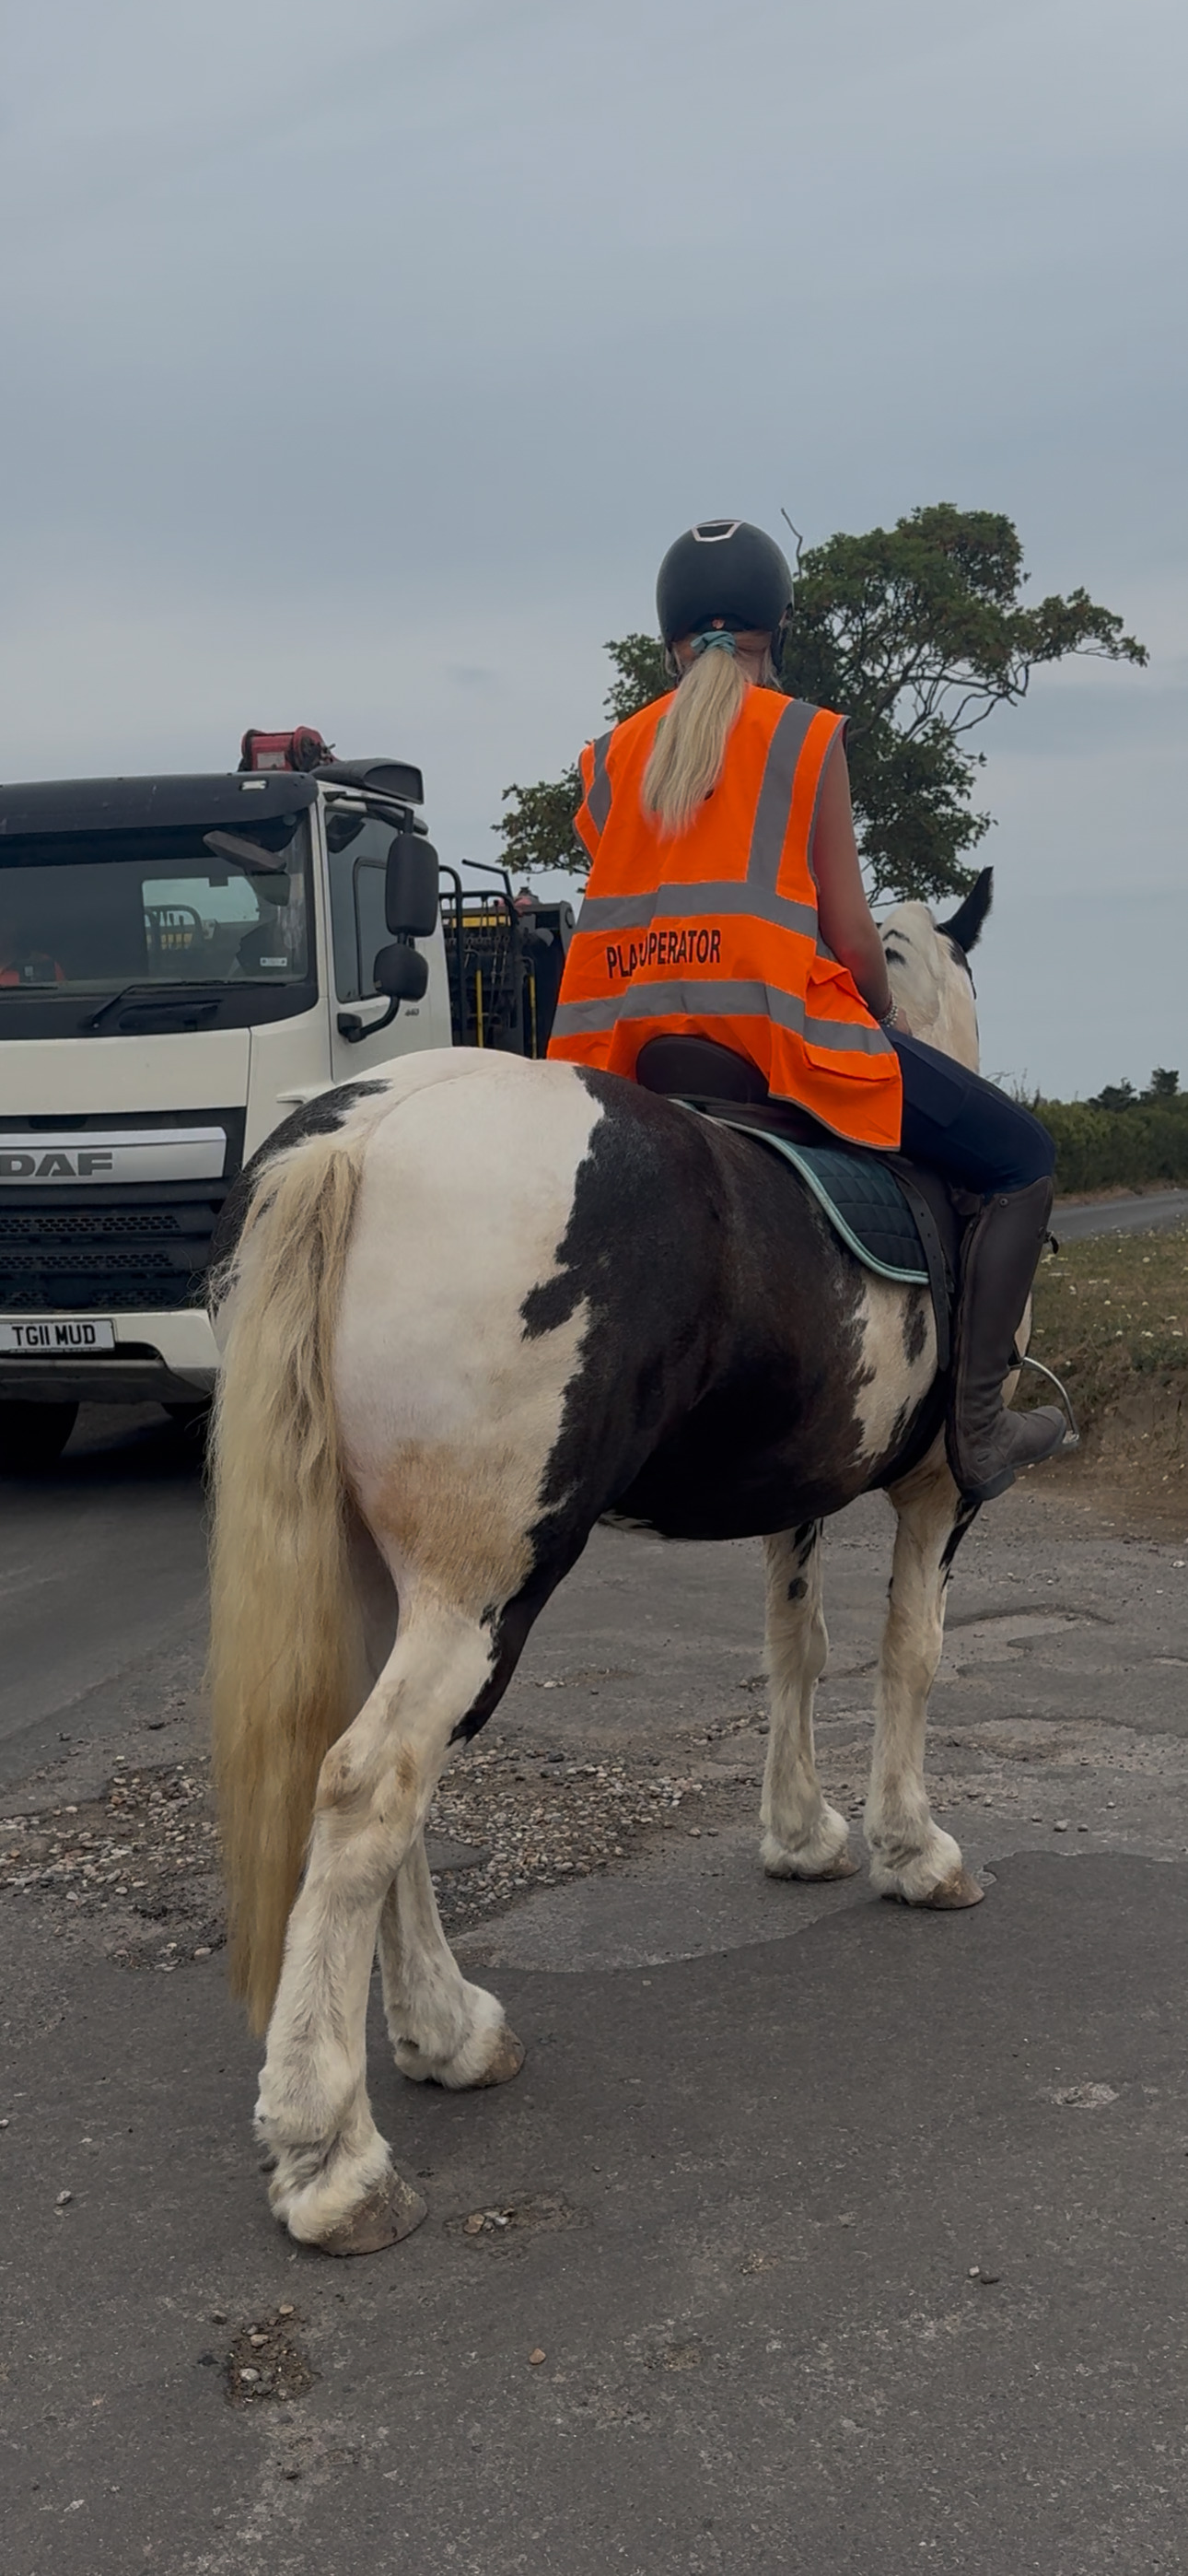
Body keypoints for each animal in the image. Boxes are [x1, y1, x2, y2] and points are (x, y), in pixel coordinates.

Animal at [207, 870, 1001, 2254]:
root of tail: (359, 1134)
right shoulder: (931, 1492)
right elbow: (909, 1652)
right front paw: (913, 1848)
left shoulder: (794, 1498)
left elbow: (796, 1649)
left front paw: (801, 1833)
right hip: (484, 1589)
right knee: (370, 1786)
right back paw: (332, 2150)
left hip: (391, 1579)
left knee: (366, 1780)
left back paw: (444, 2032)